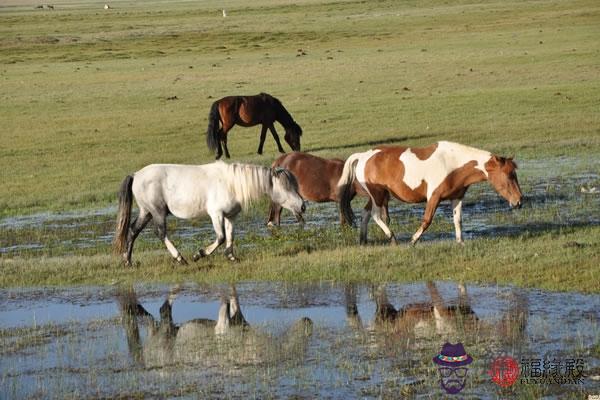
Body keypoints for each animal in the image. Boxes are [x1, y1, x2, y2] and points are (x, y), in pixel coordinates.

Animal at [113, 161, 304, 268]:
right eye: (287, 187)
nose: (302, 206)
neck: (231, 183)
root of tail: (136, 175)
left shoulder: (230, 216)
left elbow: (230, 236)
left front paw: (231, 257)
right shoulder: (216, 214)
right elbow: (220, 237)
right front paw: (199, 254)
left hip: (146, 212)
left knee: (132, 231)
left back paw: (128, 261)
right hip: (157, 211)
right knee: (161, 233)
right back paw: (180, 258)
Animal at [340, 142, 524, 245]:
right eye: (509, 175)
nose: (519, 201)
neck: (452, 164)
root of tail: (363, 156)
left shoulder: (457, 197)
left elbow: (458, 220)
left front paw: (461, 242)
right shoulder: (434, 197)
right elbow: (427, 220)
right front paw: (413, 241)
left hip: (378, 195)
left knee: (365, 213)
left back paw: (363, 240)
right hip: (378, 195)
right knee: (375, 215)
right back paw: (392, 238)